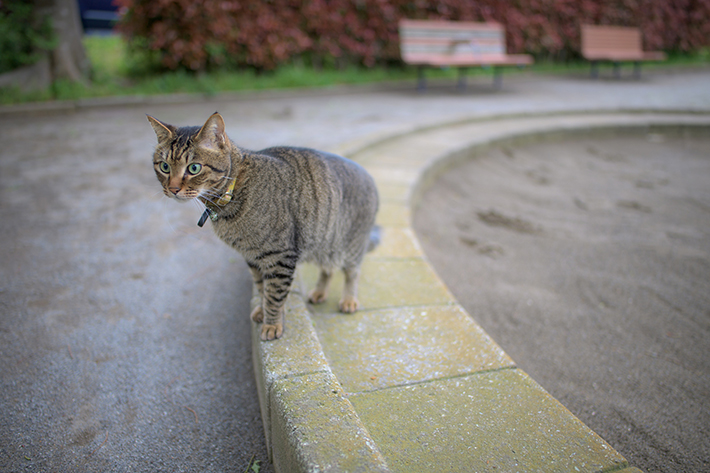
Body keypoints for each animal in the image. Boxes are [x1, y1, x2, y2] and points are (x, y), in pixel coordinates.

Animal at [145, 110, 378, 340]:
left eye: (194, 168)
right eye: (164, 167)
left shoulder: (280, 256)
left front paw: (272, 324)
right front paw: (263, 312)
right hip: (324, 244)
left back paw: (349, 299)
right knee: (328, 269)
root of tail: (370, 177)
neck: (233, 192)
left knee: (352, 273)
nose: (173, 189)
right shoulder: (252, 257)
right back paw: (320, 291)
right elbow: (262, 287)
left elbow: (274, 294)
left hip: (348, 247)